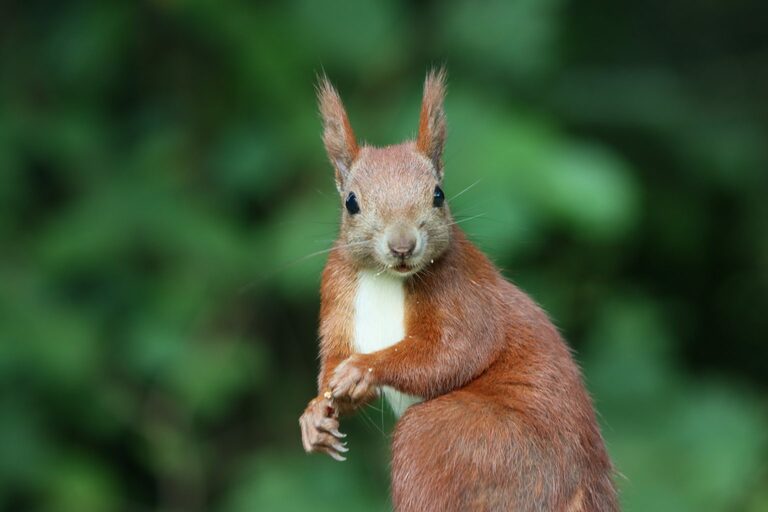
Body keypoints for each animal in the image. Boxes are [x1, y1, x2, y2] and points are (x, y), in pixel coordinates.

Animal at [299, 69, 619, 512]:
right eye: (351, 203)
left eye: (438, 195)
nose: (403, 245)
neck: (385, 277)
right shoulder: (336, 289)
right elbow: (334, 362)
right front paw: (316, 414)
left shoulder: (462, 292)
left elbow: (456, 350)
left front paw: (364, 368)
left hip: (462, 441)